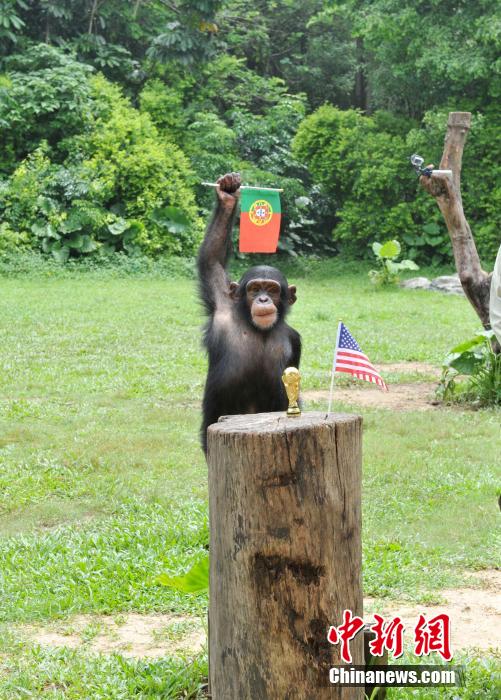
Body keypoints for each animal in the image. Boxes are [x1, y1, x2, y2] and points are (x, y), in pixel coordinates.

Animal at [197, 172, 300, 452]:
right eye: (254, 289)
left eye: (272, 290)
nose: (263, 298)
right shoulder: (222, 305)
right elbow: (211, 260)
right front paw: (228, 194)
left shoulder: (296, 339)